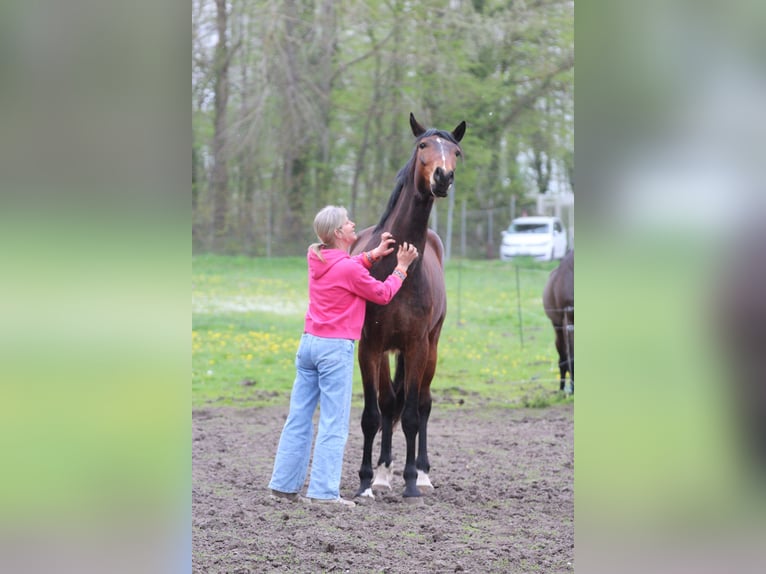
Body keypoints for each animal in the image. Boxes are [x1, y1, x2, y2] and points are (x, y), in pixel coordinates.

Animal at [351, 113, 466, 500]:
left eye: (457, 152)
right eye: (423, 146)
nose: (443, 177)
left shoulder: (416, 345)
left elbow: (414, 415)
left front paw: (413, 481)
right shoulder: (370, 346)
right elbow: (373, 414)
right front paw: (367, 481)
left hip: (431, 346)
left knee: (423, 404)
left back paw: (422, 473)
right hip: (387, 351)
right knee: (389, 405)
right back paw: (384, 473)